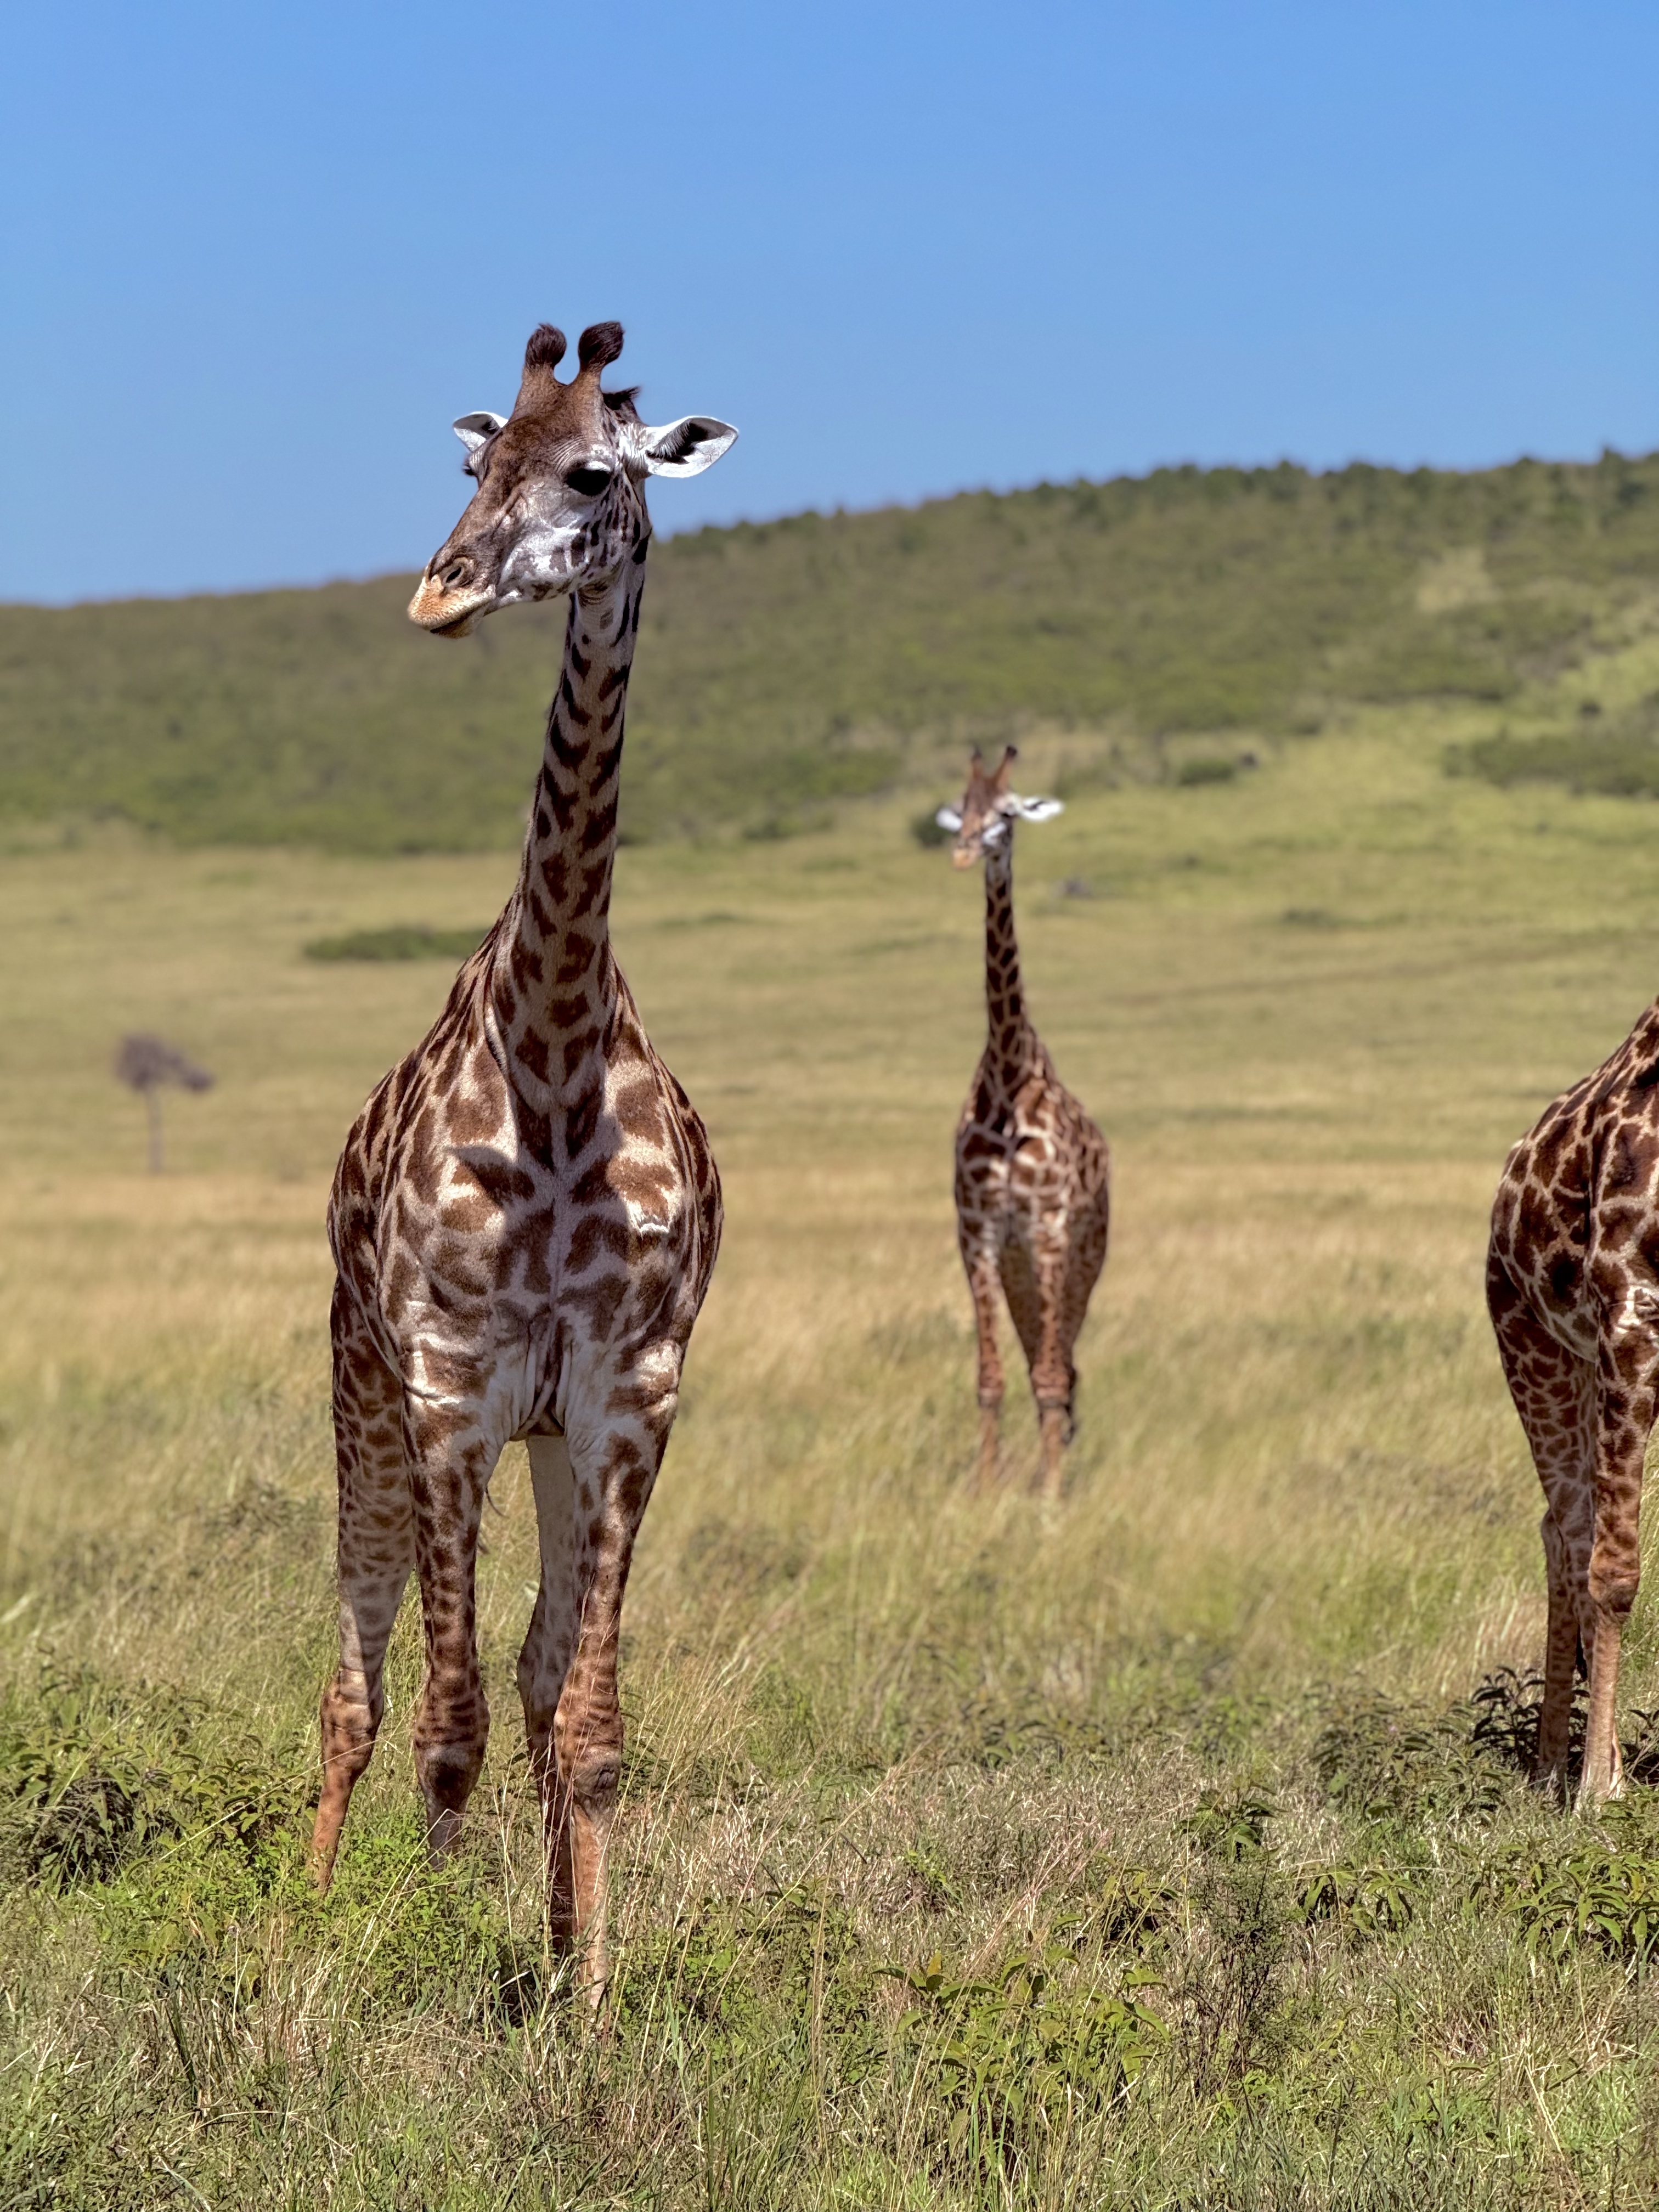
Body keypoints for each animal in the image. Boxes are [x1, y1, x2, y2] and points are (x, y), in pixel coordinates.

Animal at [308, 320, 737, 1998]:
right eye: (480, 460)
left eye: (595, 474)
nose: (439, 589)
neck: (555, 1055)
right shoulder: (445, 1384)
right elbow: (450, 1724)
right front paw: (410, 1965)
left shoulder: (628, 1396)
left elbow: (584, 1720)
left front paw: (590, 1990)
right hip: (363, 1389)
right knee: (353, 1688)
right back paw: (304, 1914)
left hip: (545, 1438)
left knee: (535, 1675)